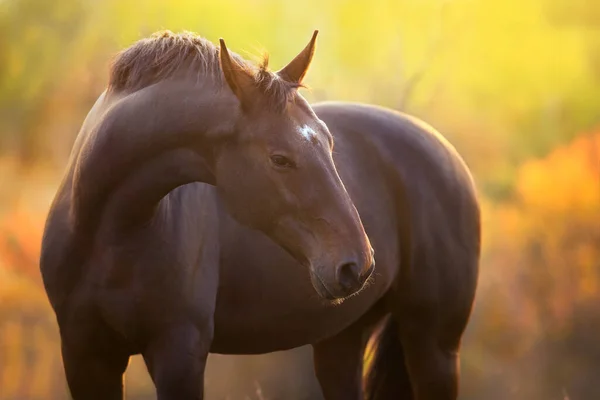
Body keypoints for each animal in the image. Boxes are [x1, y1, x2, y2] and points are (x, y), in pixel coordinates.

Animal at [39, 29, 480, 398]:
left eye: (329, 144)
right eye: (279, 159)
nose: (357, 264)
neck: (109, 233)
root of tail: (445, 152)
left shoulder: (179, 353)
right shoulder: (84, 355)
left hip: (435, 347)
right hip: (341, 341)